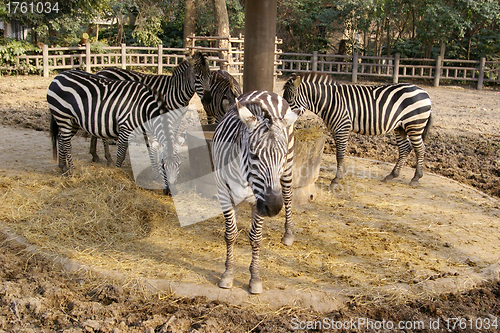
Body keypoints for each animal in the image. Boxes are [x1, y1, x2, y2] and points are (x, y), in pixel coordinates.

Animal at [47, 69, 180, 195]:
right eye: (163, 166)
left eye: (179, 165)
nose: (171, 193)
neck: (144, 109)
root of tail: (59, 75)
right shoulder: (125, 127)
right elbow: (121, 154)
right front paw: (117, 173)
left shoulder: (147, 132)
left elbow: (152, 152)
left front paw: (154, 176)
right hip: (63, 116)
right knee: (67, 143)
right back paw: (72, 171)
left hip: (72, 120)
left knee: (61, 138)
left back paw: (63, 167)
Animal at [213, 90, 298, 294]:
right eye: (254, 155)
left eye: (282, 156)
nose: (273, 207)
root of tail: (266, 92)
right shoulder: (224, 193)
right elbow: (230, 234)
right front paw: (228, 273)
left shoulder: (259, 200)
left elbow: (256, 238)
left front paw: (255, 277)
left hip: (288, 170)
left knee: (288, 197)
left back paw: (288, 234)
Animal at [284, 72, 432, 185]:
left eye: (289, 100)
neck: (330, 102)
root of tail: (423, 91)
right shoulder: (336, 129)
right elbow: (340, 153)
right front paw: (342, 174)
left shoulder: (342, 127)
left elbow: (340, 154)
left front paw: (336, 179)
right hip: (400, 127)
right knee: (405, 148)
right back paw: (392, 175)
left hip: (414, 125)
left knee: (420, 148)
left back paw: (416, 178)